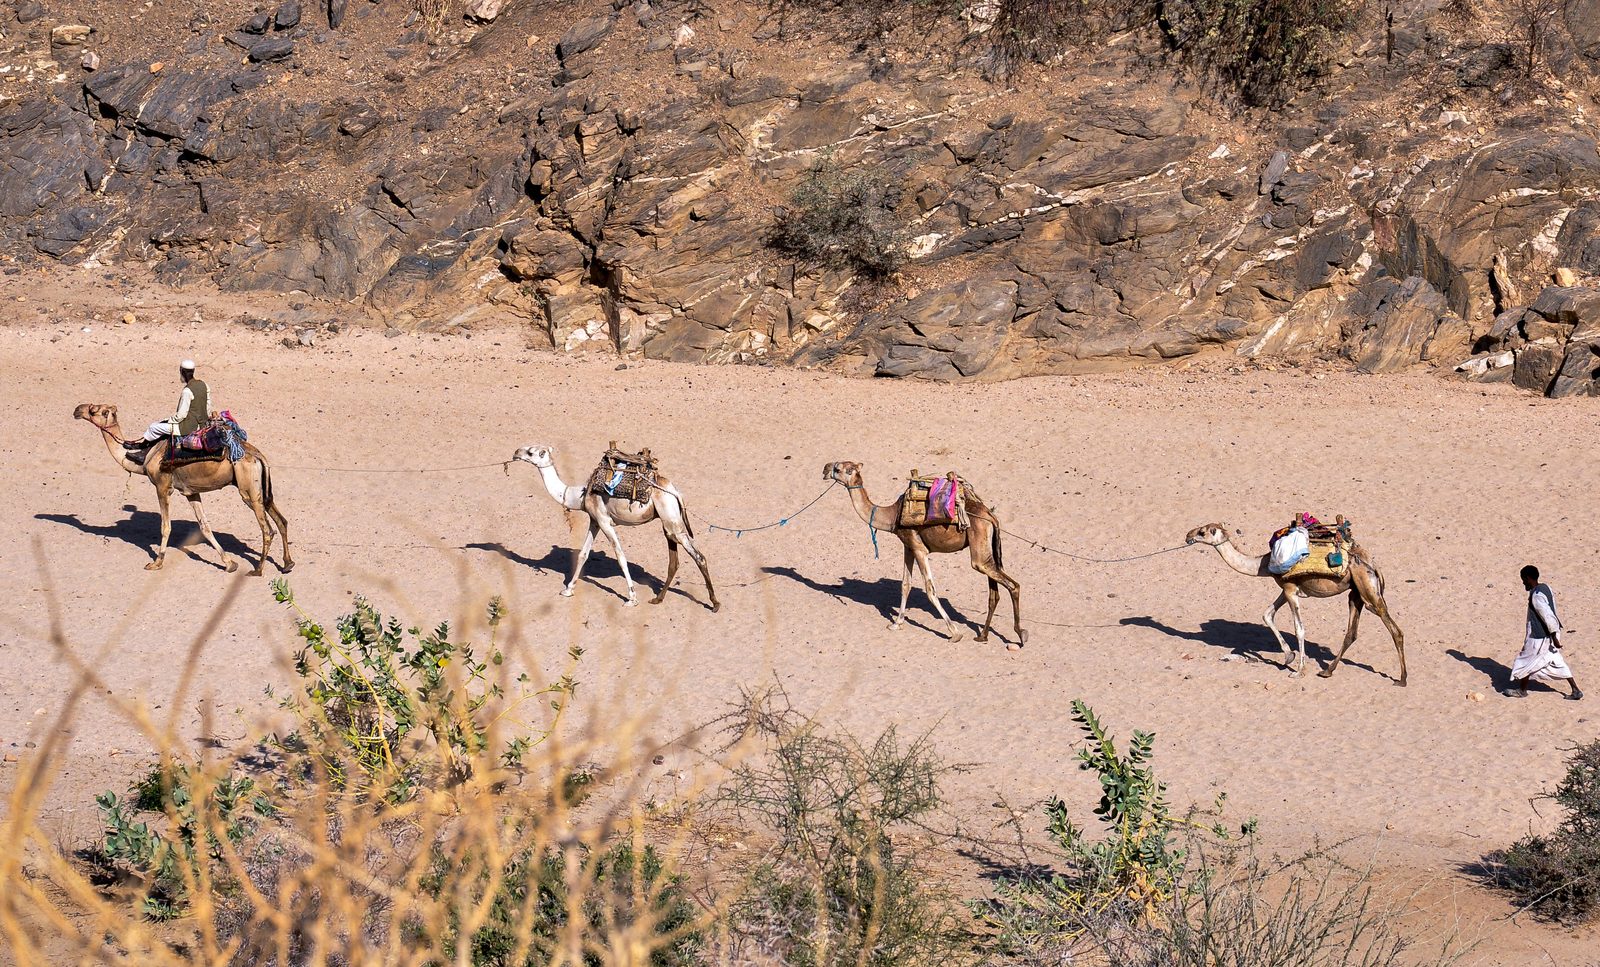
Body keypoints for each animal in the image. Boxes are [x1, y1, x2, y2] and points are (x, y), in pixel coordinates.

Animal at [73, 404, 292, 576]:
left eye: (94, 410)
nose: (77, 409)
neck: (145, 458)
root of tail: (258, 455)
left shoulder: (162, 486)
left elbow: (165, 526)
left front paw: (156, 563)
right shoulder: (191, 491)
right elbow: (204, 526)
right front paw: (229, 563)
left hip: (248, 491)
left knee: (267, 529)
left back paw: (258, 570)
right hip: (263, 490)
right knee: (281, 520)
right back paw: (287, 564)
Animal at [511, 444, 718, 611]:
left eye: (531, 452)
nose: (516, 452)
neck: (578, 496)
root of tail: (674, 490)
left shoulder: (604, 521)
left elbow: (621, 557)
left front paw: (632, 599)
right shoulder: (594, 521)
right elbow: (583, 554)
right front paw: (568, 589)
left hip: (671, 520)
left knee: (699, 556)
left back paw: (714, 604)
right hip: (667, 523)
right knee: (674, 561)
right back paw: (658, 599)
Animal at [823, 462, 1024, 647]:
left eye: (841, 468)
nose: (825, 468)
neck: (892, 516)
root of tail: (990, 516)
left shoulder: (920, 549)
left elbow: (930, 589)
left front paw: (955, 633)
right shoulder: (908, 546)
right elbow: (905, 584)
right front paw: (896, 623)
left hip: (979, 548)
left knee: (1011, 584)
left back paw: (1020, 634)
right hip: (987, 548)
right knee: (994, 590)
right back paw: (983, 636)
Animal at [1183, 523, 1405, 685]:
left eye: (1202, 531)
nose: (1188, 535)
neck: (1264, 564)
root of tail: (1373, 565)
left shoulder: (1290, 590)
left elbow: (1299, 629)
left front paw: (1298, 671)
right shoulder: (1286, 588)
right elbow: (1267, 614)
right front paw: (1288, 656)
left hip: (1368, 588)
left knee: (1394, 629)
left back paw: (1402, 679)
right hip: (1355, 593)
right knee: (1352, 632)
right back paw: (1326, 671)